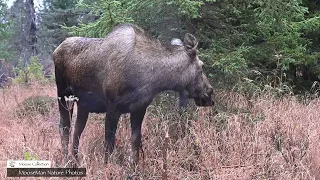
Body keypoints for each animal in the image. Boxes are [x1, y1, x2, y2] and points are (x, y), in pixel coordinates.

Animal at [52, 23, 214, 166]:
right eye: (202, 66)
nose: (210, 93)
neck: (153, 78)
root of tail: (55, 52)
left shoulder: (139, 108)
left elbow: (136, 140)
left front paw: (134, 166)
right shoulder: (113, 107)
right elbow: (109, 143)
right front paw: (107, 166)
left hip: (83, 105)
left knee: (76, 132)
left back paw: (76, 160)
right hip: (64, 95)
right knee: (64, 128)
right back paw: (67, 160)